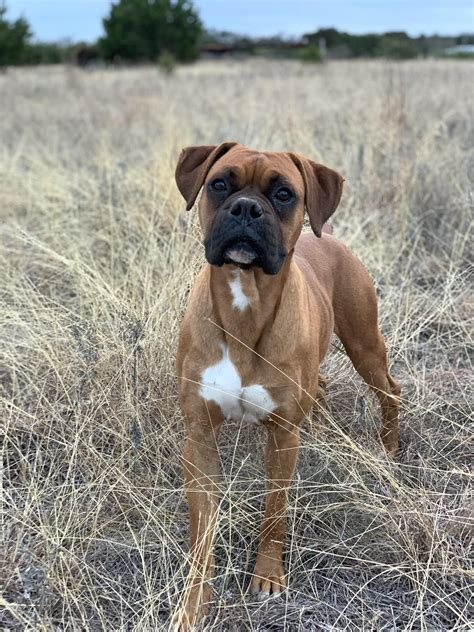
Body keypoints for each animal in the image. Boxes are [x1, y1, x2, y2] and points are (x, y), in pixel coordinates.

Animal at [172, 141, 398, 628]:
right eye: (219, 183)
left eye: (283, 194)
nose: (246, 208)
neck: (245, 303)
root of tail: (328, 235)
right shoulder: (200, 439)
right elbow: (202, 531)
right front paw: (195, 601)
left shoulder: (281, 438)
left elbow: (274, 513)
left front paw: (268, 576)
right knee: (324, 388)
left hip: (365, 346)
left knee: (391, 390)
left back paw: (390, 448)